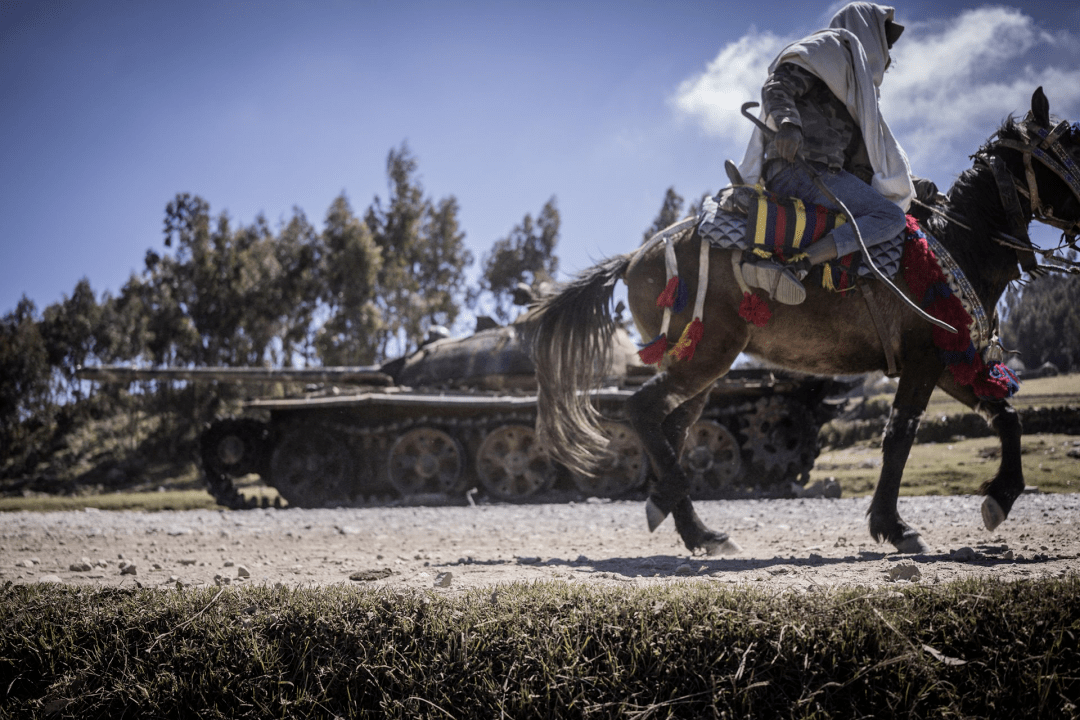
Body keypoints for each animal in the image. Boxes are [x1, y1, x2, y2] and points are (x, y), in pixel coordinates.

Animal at [531, 87, 1080, 557]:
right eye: (1069, 146)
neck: (956, 243)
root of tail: (635, 258)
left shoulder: (948, 362)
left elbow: (1005, 417)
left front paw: (1000, 497)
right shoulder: (925, 359)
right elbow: (900, 436)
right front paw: (894, 526)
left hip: (695, 360)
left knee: (674, 426)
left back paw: (683, 518)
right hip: (707, 354)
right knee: (644, 411)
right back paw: (693, 522)